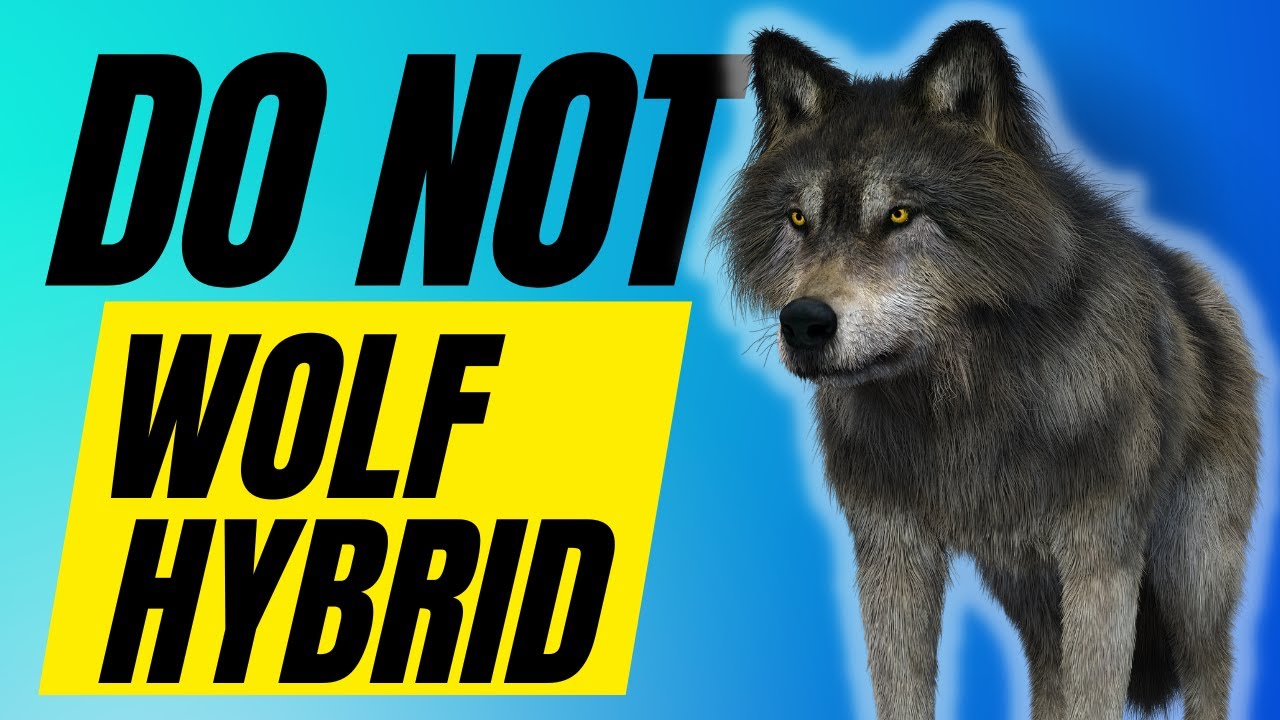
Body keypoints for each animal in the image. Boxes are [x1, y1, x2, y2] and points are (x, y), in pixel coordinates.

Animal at [715, 20, 1260, 720]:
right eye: (798, 219)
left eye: (899, 214)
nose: (804, 323)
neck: (961, 406)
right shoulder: (892, 555)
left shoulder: (1101, 558)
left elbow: (1097, 696)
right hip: (1028, 588)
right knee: (1049, 672)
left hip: (1190, 578)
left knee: (1209, 673)